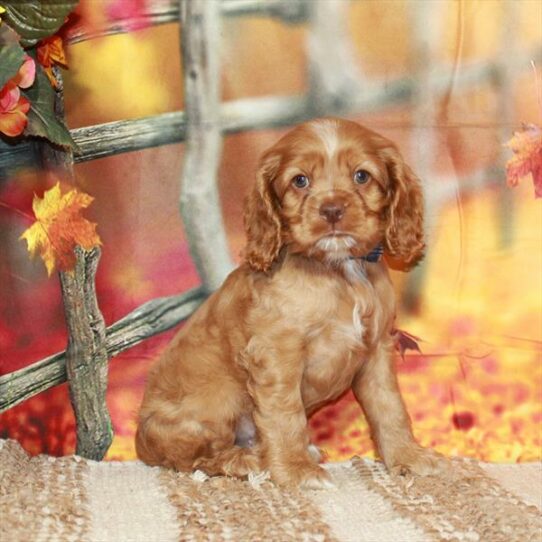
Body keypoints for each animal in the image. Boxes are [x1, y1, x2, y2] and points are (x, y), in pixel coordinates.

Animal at [137, 118, 450, 488]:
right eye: (300, 181)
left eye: (362, 175)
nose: (332, 209)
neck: (339, 270)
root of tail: (139, 440)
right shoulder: (276, 354)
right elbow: (286, 414)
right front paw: (297, 469)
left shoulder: (376, 349)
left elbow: (390, 407)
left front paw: (407, 457)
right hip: (220, 398)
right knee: (193, 459)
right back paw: (246, 461)